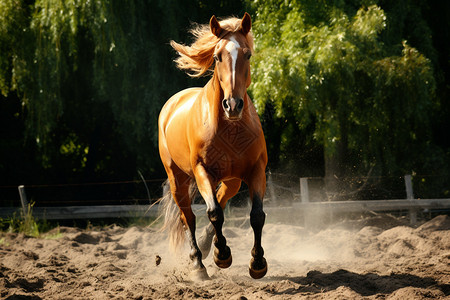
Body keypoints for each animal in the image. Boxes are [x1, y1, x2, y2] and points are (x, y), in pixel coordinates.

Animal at [158, 11, 268, 278]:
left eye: (247, 54)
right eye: (218, 57)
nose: (233, 105)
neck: (230, 128)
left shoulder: (256, 170)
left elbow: (257, 215)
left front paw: (257, 263)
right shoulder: (202, 172)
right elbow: (214, 213)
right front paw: (223, 256)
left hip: (232, 180)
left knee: (220, 199)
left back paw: (209, 247)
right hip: (178, 180)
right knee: (188, 217)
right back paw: (198, 263)